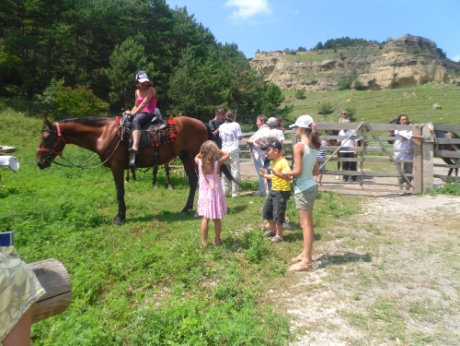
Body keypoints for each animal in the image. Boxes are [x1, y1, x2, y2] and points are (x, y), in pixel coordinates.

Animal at [36, 115, 213, 226]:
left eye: (46, 138)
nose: (39, 162)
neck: (104, 134)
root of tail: (201, 123)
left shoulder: (117, 167)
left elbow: (119, 191)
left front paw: (120, 217)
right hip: (185, 156)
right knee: (193, 180)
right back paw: (186, 209)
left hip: (194, 156)